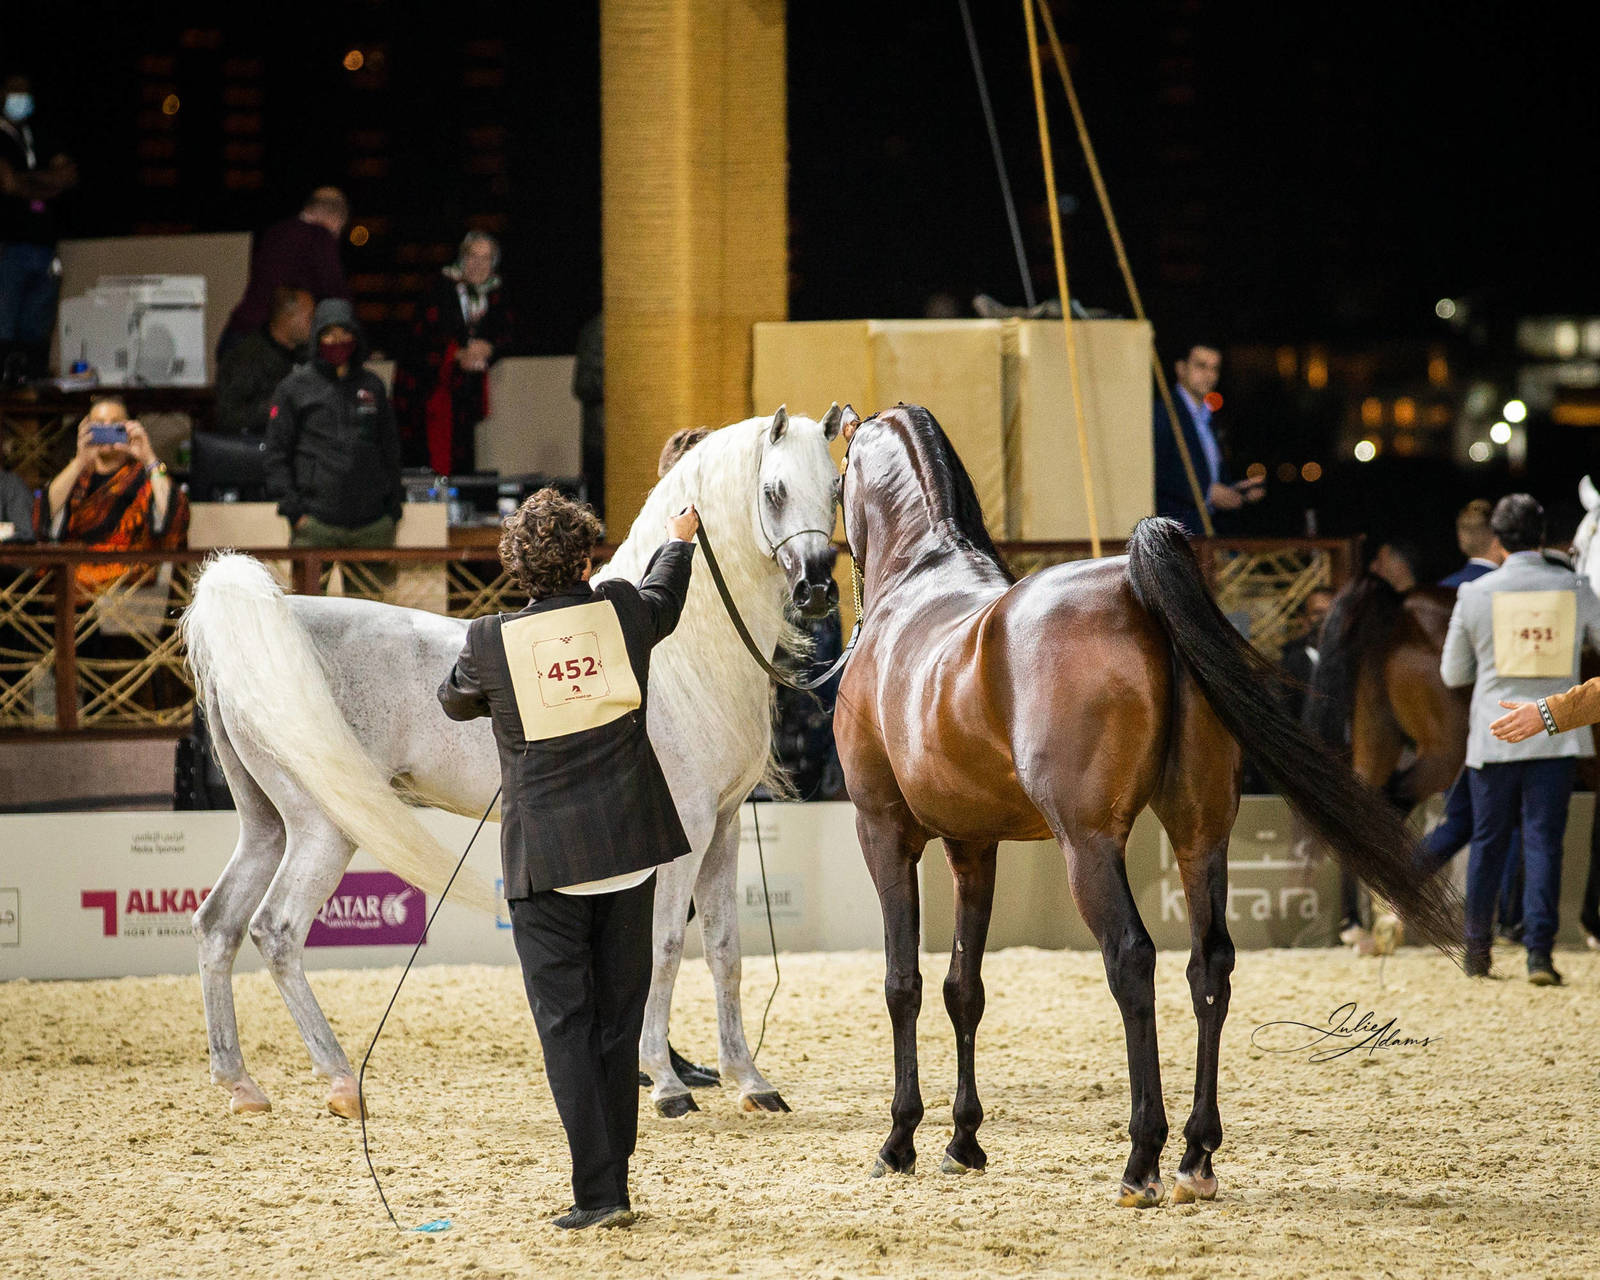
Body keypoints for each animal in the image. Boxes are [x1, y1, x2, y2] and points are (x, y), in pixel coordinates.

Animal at [181, 405, 844, 1120]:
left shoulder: (722, 827)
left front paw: (750, 1081)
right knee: (275, 930)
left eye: (836, 488)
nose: (816, 590)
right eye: (773, 491)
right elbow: (665, 948)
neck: (680, 653)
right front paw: (667, 1086)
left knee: (217, 925)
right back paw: (339, 1082)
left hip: (266, 826)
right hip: (322, 829)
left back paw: (241, 1085)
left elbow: (724, 950)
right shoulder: (685, 831)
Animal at [831, 404, 1461, 1208]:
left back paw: (1143, 1160)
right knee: (1209, 964)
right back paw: (1196, 1154)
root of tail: (1135, 588)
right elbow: (962, 988)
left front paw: (900, 1140)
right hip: (1201, 835)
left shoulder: (884, 830)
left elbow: (902, 983)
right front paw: (964, 1141)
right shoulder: (974, 844)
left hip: (1089, 846)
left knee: (1132, 959)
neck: (919, 581)